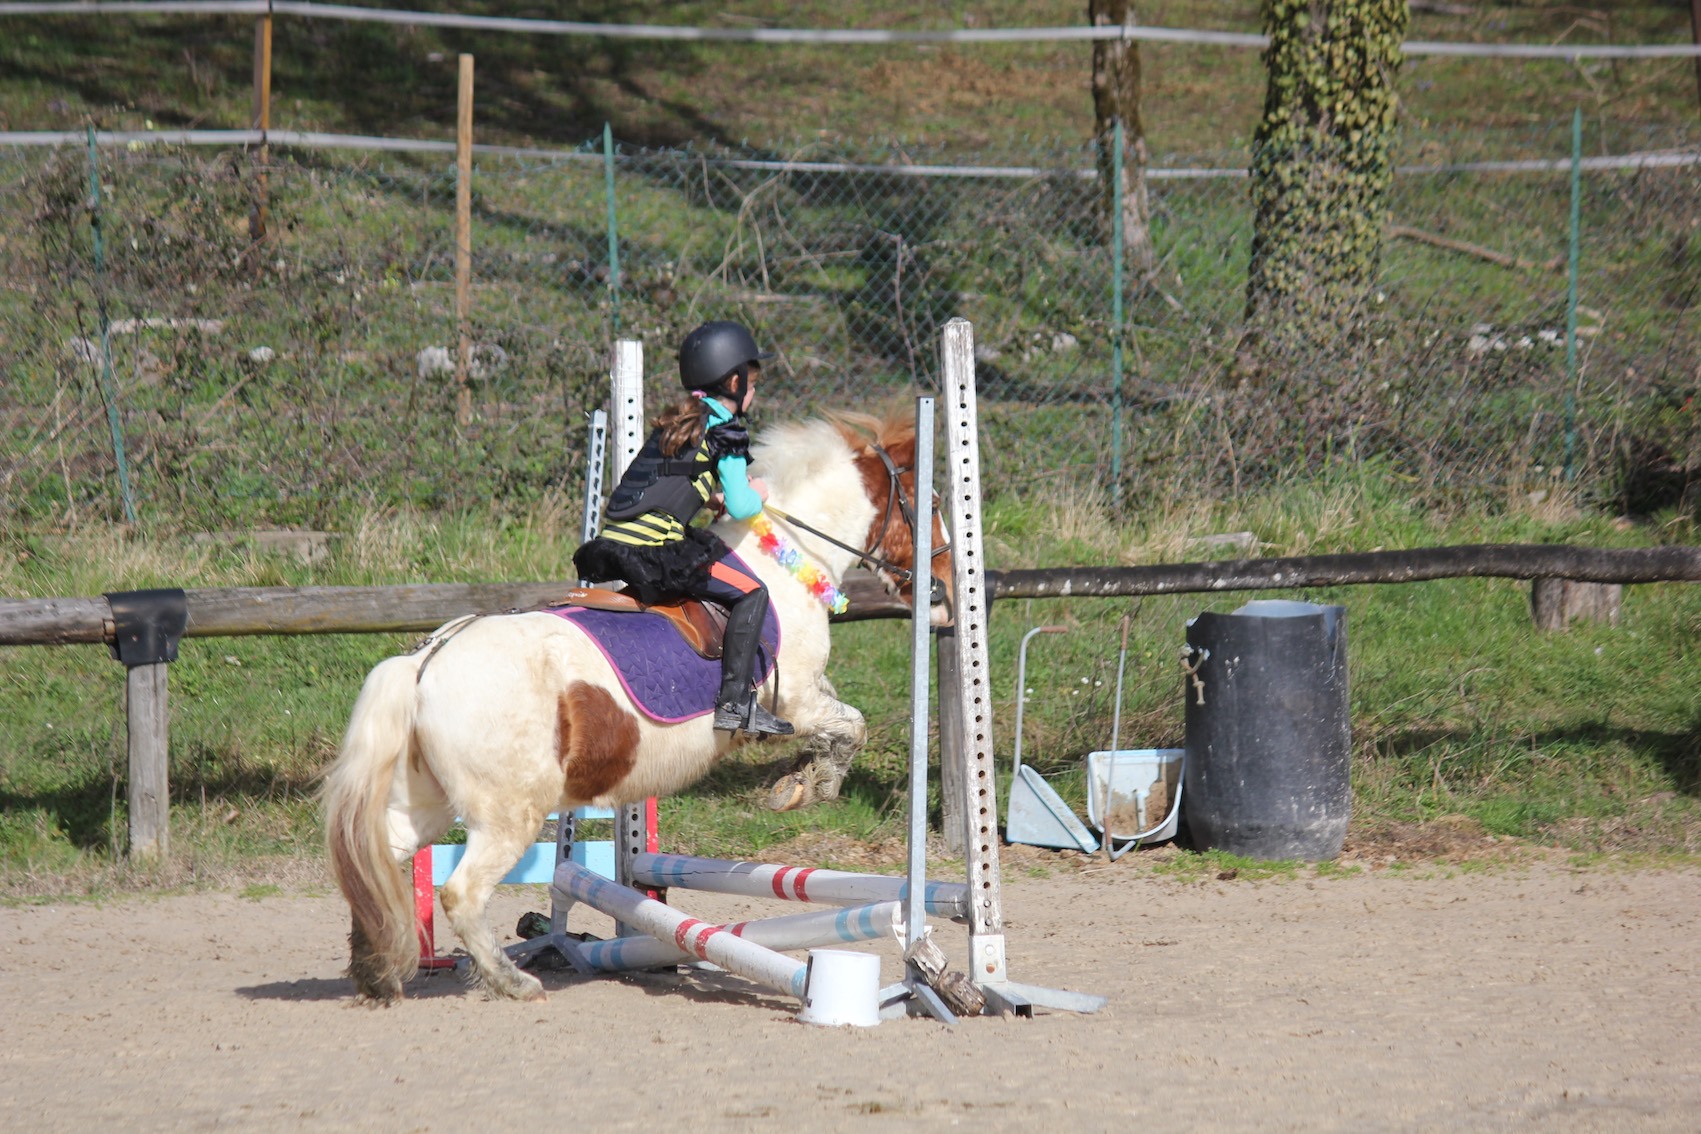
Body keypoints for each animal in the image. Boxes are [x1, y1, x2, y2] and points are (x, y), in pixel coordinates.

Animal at [322, 411, 953, 1003]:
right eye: (931, 503)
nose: (944, 594)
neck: (785, 563)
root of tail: (425, 660)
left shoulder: (808, 696)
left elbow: (843, 726)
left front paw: (799, 779)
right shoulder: (796, 698)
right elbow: (852, 727)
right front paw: (808, 786)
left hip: (426, 800)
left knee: (376, 861)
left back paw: (374, 971)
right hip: (507, 813)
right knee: (461, 892)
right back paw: (511, 981)